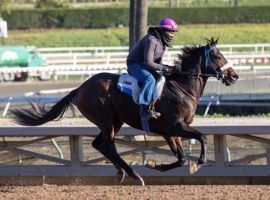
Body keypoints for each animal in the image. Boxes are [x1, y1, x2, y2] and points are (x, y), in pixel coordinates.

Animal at [11, 37, 238, 186]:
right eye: (217, 55)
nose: (234, 75)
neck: (182, 87)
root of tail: (80, 88)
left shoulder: (168, 131)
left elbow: (181, 157)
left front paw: (156, 166)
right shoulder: (175, 126)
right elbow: (202, 137)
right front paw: (199, 162)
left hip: (115, 121)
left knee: (99, 144)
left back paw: (122, 171)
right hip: (106, 118)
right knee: (108, 146)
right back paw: (133, 174)